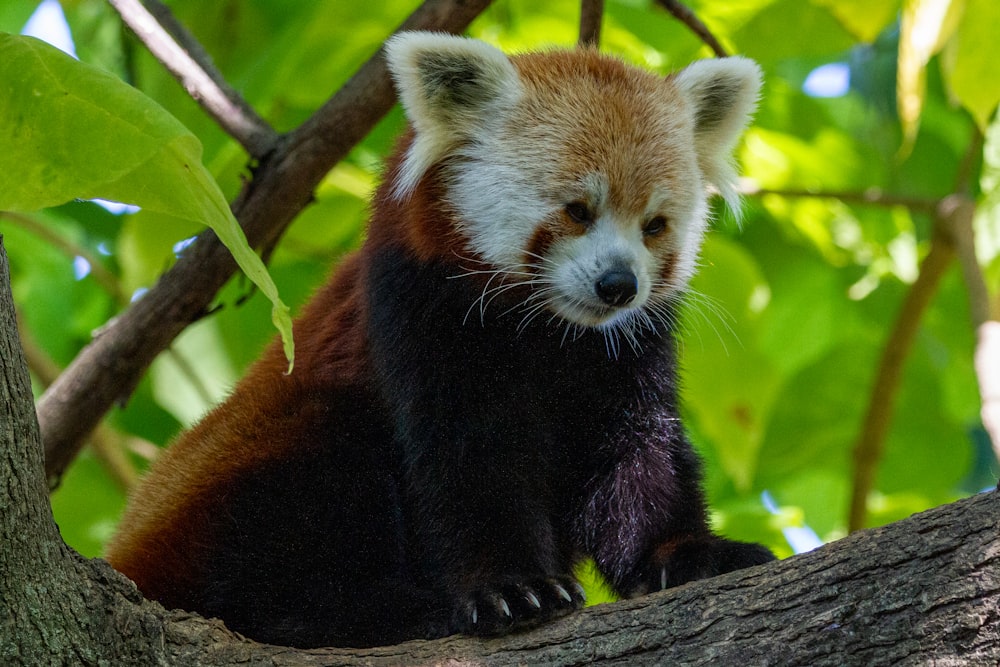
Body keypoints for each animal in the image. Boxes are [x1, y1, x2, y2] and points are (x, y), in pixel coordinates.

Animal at [103, 30, 772, 648]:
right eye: (578, 210)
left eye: (654, 225)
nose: (619, 285)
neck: (550, 333)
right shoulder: (421, 312)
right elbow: (468, 460)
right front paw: (512, 590)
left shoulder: (623, 354)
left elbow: (634, 455)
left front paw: (688, 553)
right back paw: (378, 610)